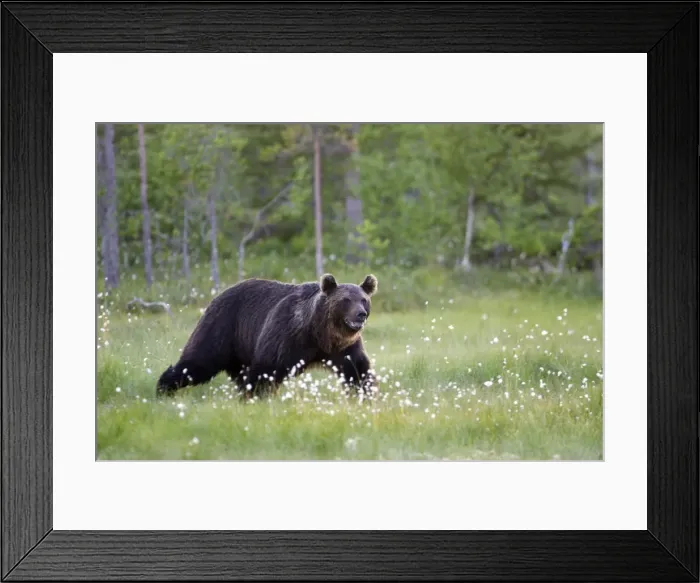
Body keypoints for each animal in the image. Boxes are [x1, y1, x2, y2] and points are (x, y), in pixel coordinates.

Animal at [156, 273, 379, 399]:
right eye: (346, 300)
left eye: (364, 299)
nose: (360, 314)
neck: (321, 334)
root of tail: (219, 293)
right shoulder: (287, 335)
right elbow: (266, 369)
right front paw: (256, 396)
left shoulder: (344, 348)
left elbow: (357, 371)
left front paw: (367, 396)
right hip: (223, 325)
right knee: (199, 360)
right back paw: (163, 388)